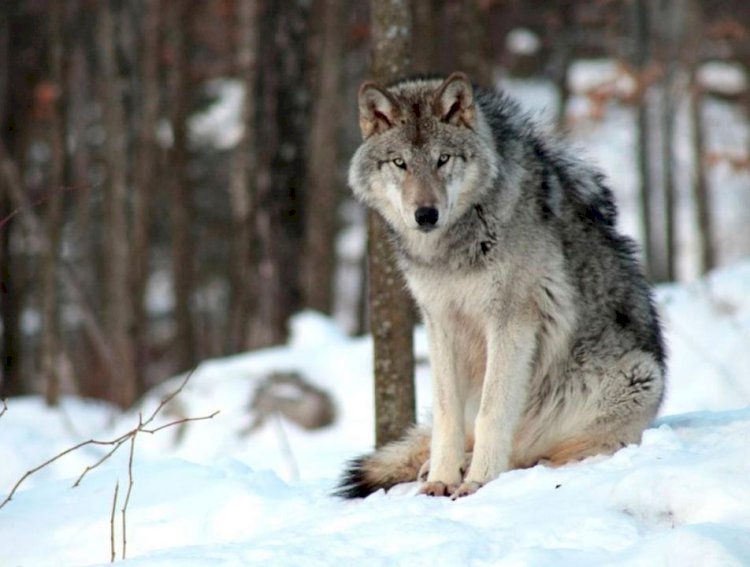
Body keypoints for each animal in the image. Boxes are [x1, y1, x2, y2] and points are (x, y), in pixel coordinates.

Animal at [338, 72, 668, 502]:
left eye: (443, 159)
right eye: (400, 163)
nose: (426, 214)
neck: (454, 249)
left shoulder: (511, 321)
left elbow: (491, 412)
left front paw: (478, 482)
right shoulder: (440, 323)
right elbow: (446, 413)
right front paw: (440, 479)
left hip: (638, 375)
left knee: (543, 451)